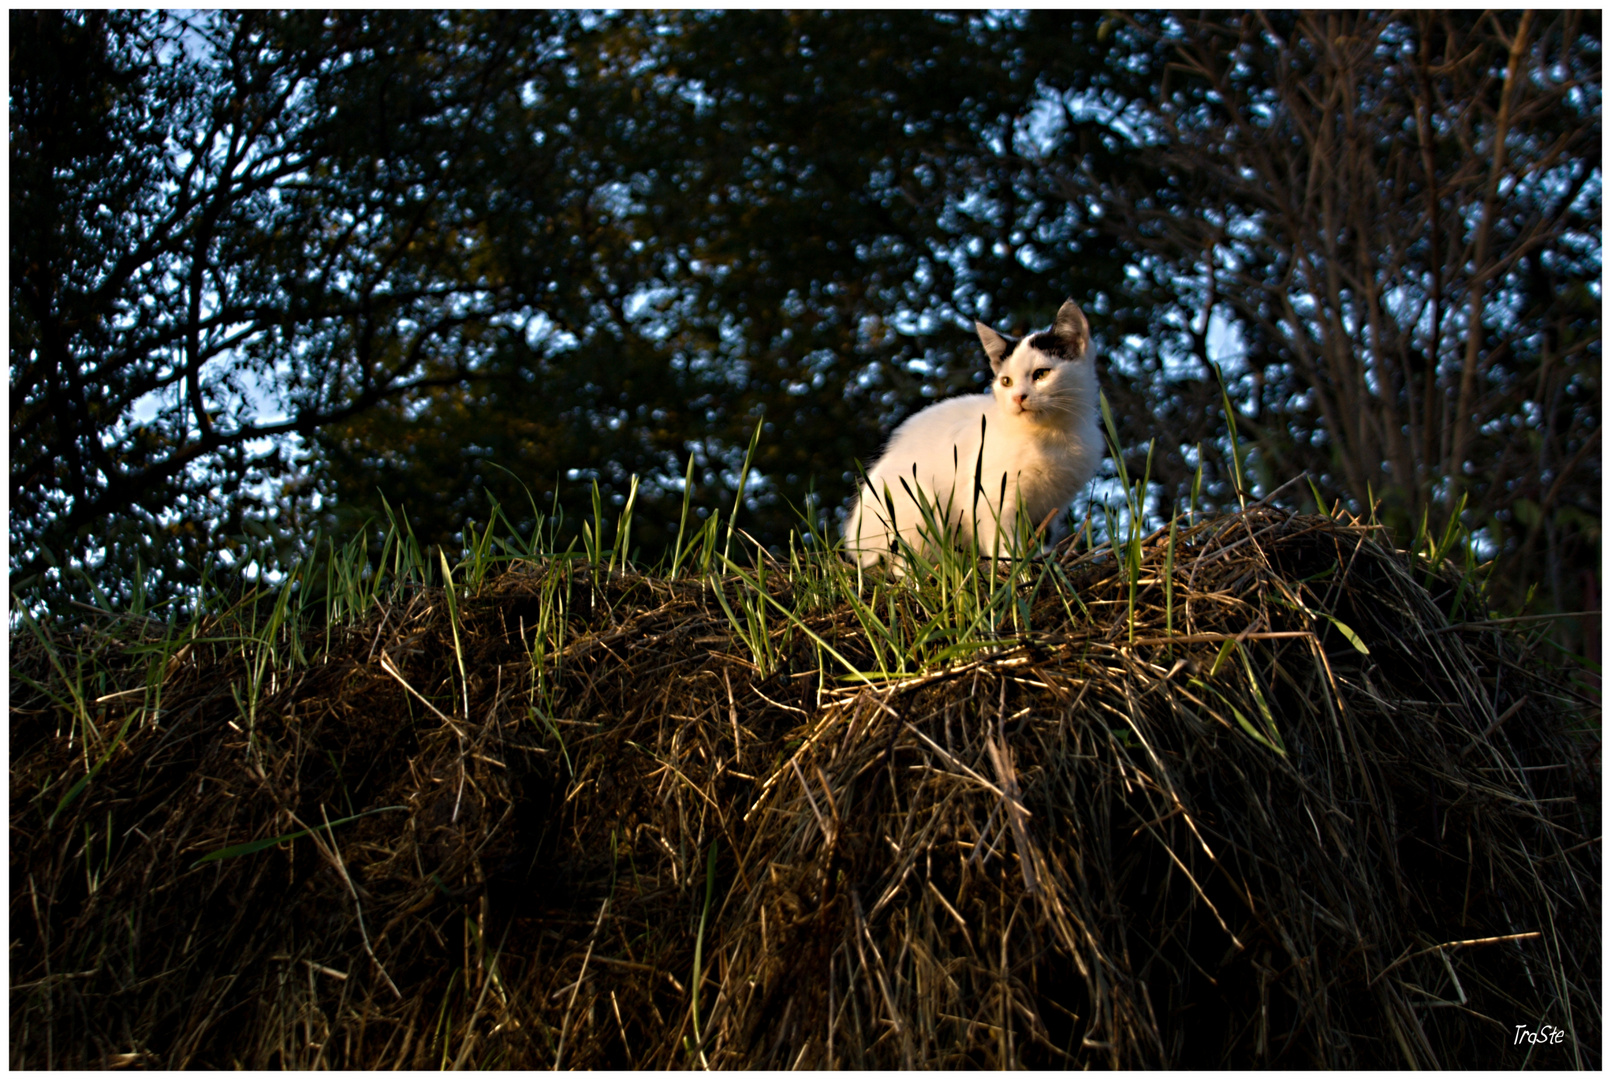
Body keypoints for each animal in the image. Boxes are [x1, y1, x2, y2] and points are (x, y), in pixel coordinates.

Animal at [844, 296, 1108, 567]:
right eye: (1006, 381)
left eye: (1042, 374)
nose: (1018, 397)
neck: (1051, 435)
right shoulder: (990, 494)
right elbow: (1001, 538)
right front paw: (1010, 566)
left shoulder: (1051, 507)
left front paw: (1037, 560)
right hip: (914, 500)